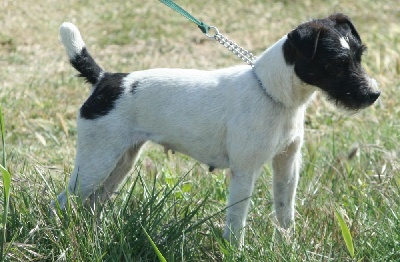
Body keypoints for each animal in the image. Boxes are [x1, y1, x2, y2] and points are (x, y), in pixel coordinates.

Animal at [54, 13, 380, 247]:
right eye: (335, 64)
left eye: (359, 55)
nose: (374, 94)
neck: (272, 93)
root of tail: (104, 79)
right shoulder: (244, 172)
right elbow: (237, 222)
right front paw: (235, 251)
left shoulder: (287, 166)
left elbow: (285, 212)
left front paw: (289, 247)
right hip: (96, 163)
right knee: (64, 202)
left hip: (120, 164)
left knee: (92, 204)